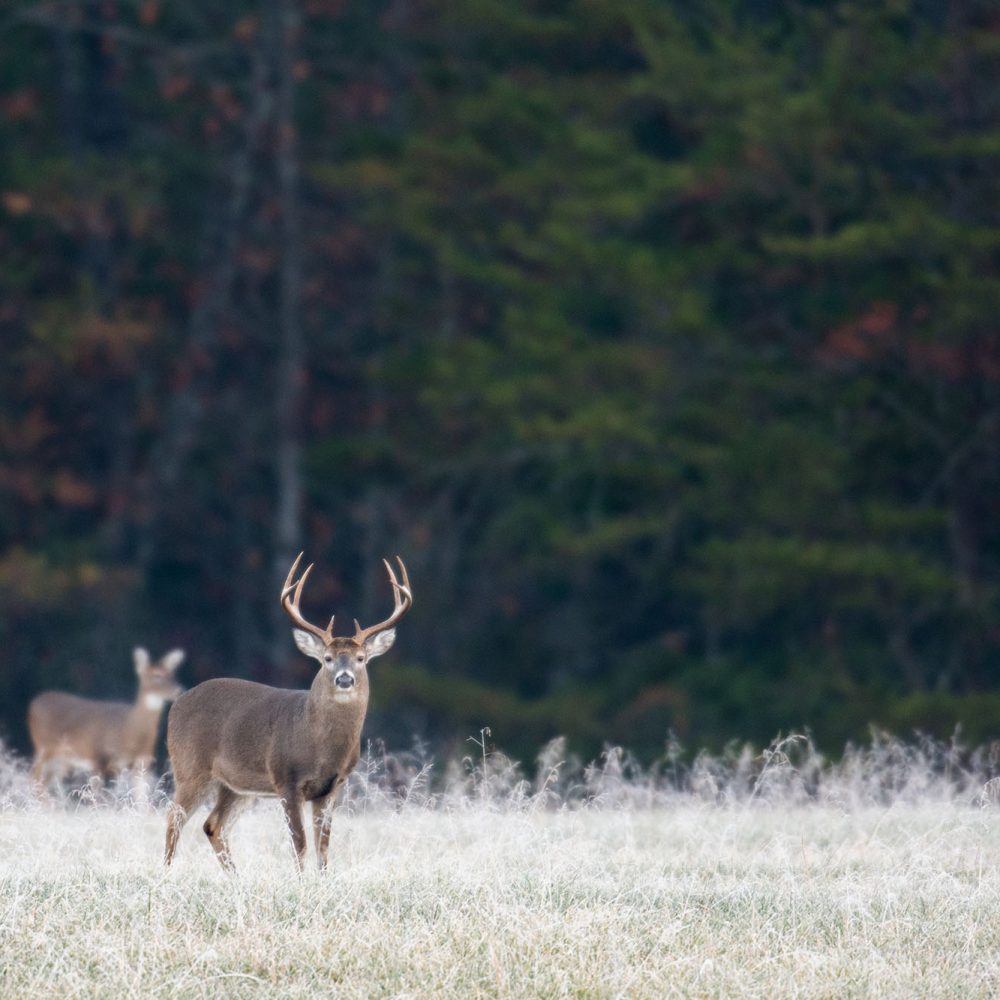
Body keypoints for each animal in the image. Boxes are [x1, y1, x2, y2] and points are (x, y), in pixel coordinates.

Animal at [28, 647, 185, 793]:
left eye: (173, 675)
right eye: (156, 675)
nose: (178, 689)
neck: (128, 732)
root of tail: (33, 703)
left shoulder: (142, 762)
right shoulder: (98, 758)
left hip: (63, 759)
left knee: (46, 782)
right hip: (44, 746)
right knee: (35, 777)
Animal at [163, 553, 412, 871]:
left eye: (361, 658)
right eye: (327, 658)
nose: (344, 679)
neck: (320, 745)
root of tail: (176, 705)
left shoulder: (333, 786)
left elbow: (323, 848)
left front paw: (322, 878)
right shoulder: (286, 779)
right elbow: (300, 844)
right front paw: (300, 880)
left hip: (236, 785)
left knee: (213, 825)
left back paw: (236, 877)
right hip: (190, 767)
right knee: (174, 818)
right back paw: (166, 873)